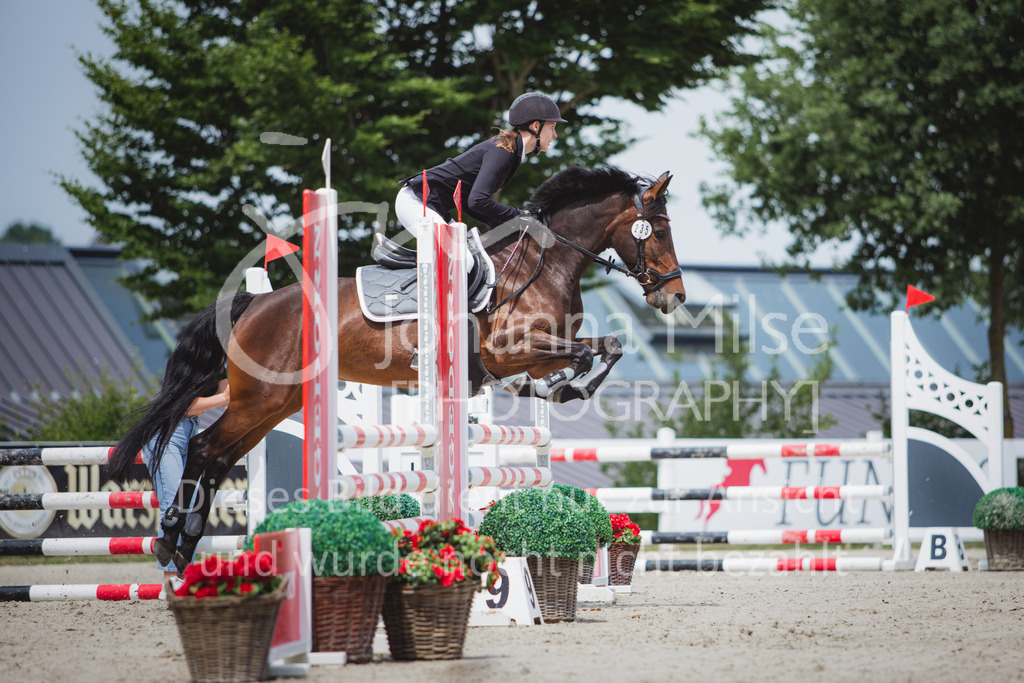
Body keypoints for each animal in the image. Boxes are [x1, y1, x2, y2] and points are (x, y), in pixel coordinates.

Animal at [108, 166, 686, 572]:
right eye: (657, 230)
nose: (675, 297)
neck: (543, 264)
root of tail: (254, 304)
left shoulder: (549, 342)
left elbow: (607, 345)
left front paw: (558, 388)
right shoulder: (507, 347)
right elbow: (583, 356)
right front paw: (557, 388)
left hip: (274, 404)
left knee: (219, 457)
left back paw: (180, 546)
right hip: (259, 399)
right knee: (205, 450)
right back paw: (171, 538)